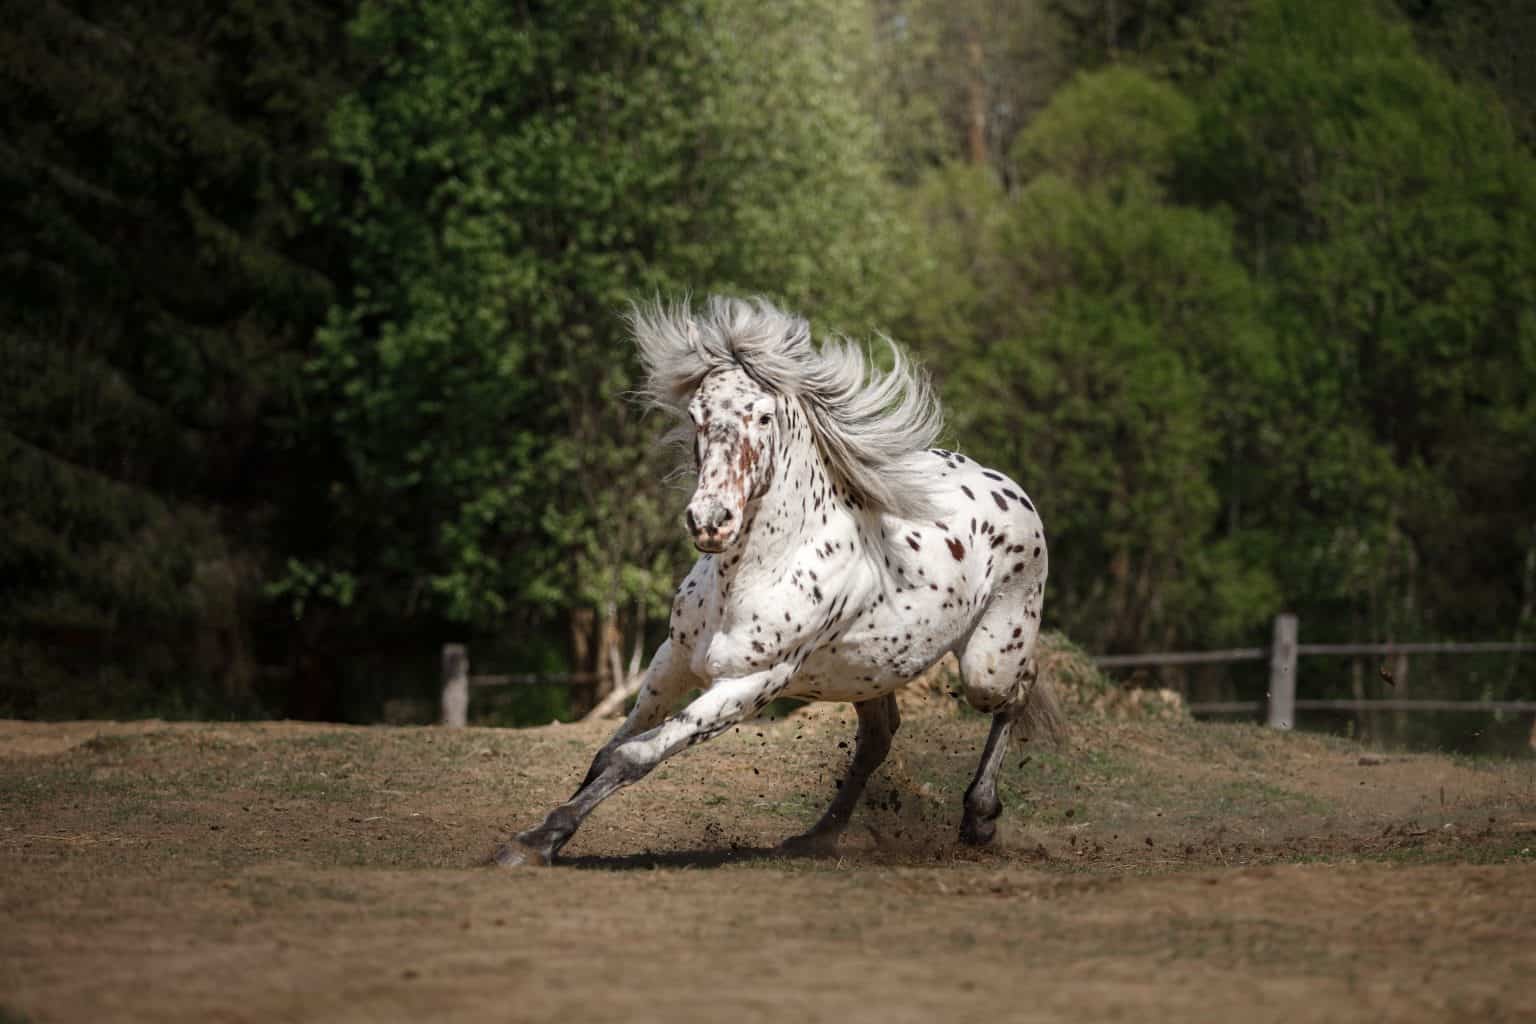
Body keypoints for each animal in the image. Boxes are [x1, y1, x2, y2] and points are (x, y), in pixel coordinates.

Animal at [497, 294, 1062, 865]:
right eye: (697, 415)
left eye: (764, 416)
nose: (710, 521)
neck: (753, 575)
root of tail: (1009, 488)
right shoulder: (672, 659)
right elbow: (605, 750)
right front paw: (541, 837)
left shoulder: (752, 683)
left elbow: (634, 756)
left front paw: (535, 843)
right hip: (869, 671)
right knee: (879, 738)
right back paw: (817, 837)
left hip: (986, 665)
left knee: (1018, 691)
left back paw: (979, 818)